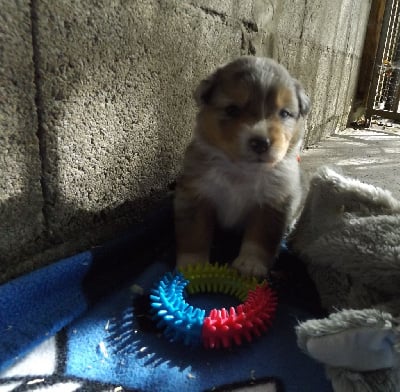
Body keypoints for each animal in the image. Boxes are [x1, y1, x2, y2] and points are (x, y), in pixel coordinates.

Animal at [174, 56, 310, 278]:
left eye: (284, 113)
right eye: (232, 110)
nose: (261, 143)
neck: (241, 171)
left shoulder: (272, 202)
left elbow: (259, 238)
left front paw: (250, 263)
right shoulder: (195, 195)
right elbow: (194, 235)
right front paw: (192, 264)